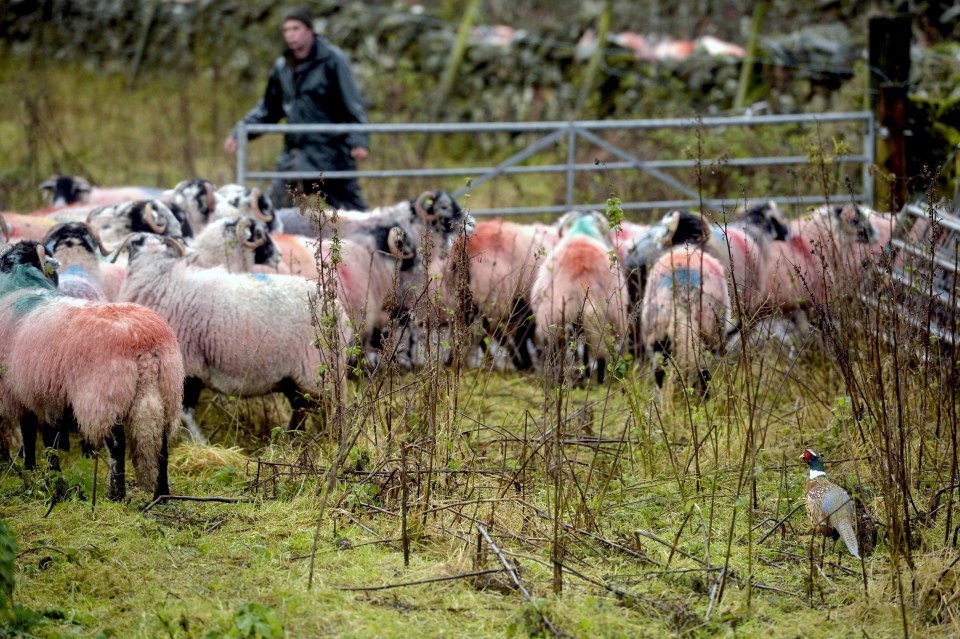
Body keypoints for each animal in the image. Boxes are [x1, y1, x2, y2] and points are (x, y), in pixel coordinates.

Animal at [0, 239, 184, 500]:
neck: (21, 284)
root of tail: (143, 342)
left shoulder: (20, 392)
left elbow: (32, 434)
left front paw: (35, 473)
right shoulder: (45, 395)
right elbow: (48, 437)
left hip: (102, 395)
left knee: (116, 443)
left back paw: (116, 495)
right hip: (168, 389)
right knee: (162, 440)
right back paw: (162, 494)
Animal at [117, 232, 352, 442]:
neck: (161, 284)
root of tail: (340, 311)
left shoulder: (189, 364)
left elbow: (186, 412)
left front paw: (199, 443)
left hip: (318, 371)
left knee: (326, 409)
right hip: (294, 376)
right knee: (301, 408)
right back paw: (294, 441)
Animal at [528, 212, 628, 382]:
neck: (582, 231)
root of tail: (582, 279)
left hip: (559, 318)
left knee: (561, 349)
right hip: (602, 315)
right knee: (599, 351)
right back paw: (598, 380)